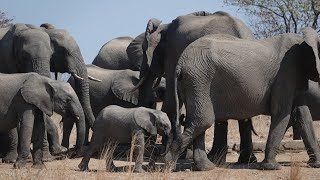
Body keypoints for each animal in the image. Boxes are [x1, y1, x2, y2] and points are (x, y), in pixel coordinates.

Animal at [165, 28, 320, 172]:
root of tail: (180, 63)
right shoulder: (287, 71)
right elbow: (281, 111)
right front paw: (272, 167)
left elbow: (303, 115)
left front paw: (316, 165)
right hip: (199, 79)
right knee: (203, 121)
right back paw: (167, 166)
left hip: (194, 81)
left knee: (198, 122)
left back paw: (206, 167)